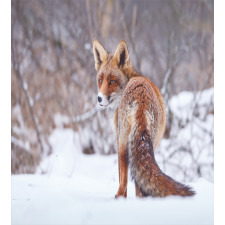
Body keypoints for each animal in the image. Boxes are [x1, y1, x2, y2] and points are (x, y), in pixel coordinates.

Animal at [92, 39, 194, 198]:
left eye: (113, 81)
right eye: (100, 80)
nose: (99, 98)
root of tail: (141, 97)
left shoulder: (119, 140)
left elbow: (124, 180)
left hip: (123, 144)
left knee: (123, 186)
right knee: (139, 186)